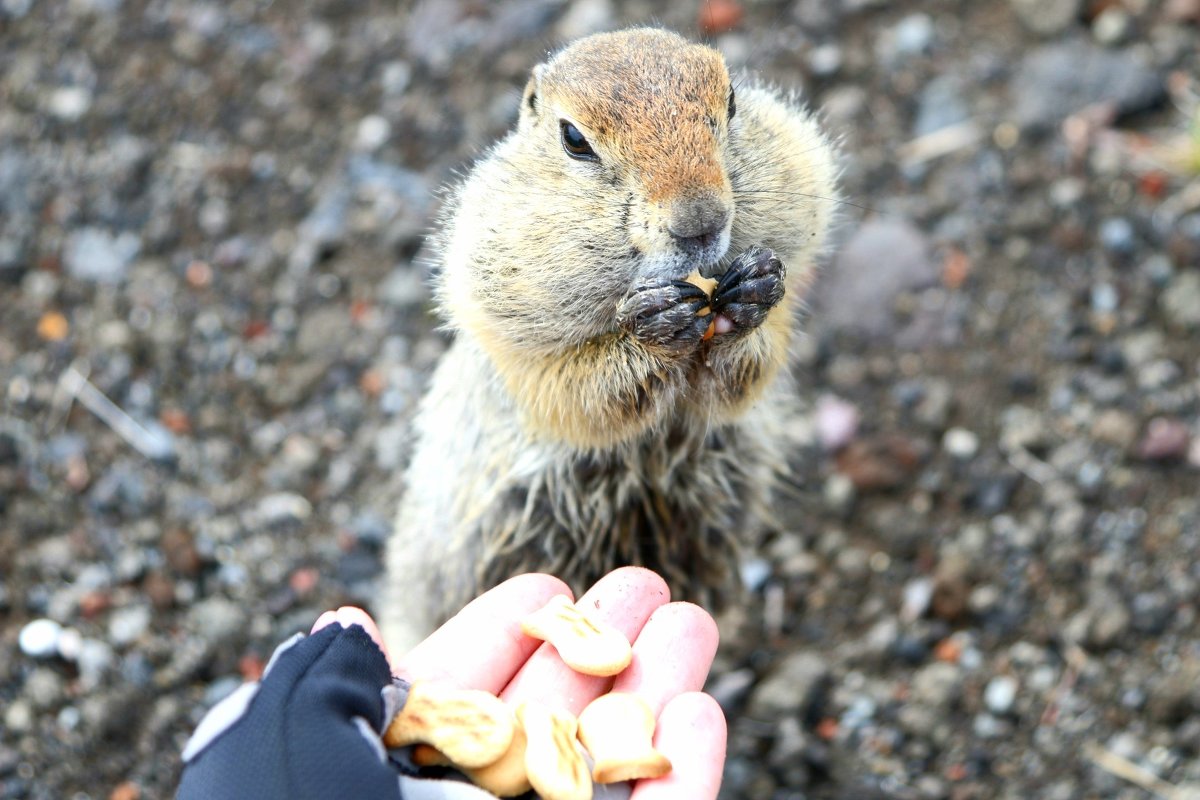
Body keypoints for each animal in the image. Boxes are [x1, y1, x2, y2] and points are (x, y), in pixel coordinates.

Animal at [379, 28, 840, 652]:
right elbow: (573, 392)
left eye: (732, 102)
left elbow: (743, 379)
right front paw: (654, 324)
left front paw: (754, 292)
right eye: (574, 140)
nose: (700, 220)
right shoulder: (507, 335)